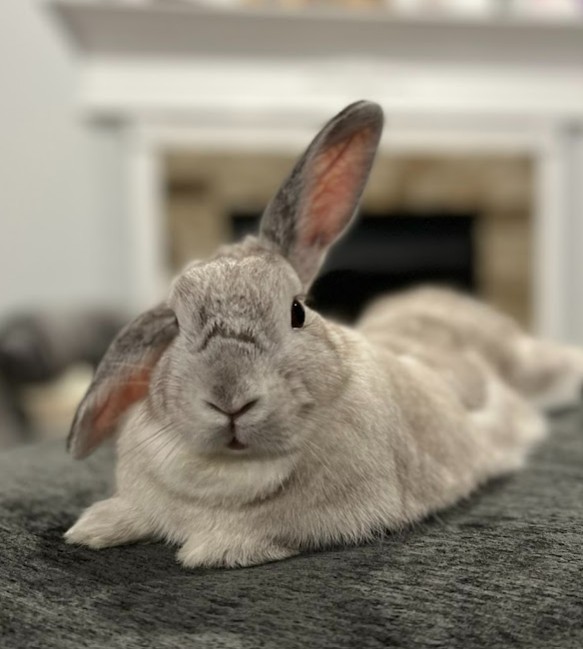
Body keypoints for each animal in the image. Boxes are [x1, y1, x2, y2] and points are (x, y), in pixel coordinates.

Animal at [65, 100, 583, 568]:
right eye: (175, 322)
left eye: (297, 311)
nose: (230, 400)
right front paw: (90, 528)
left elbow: (254, 538)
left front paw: (211, 551)